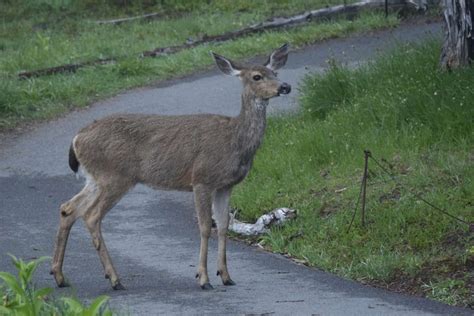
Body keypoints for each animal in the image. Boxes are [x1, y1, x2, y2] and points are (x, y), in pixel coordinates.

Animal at [50, 43, 290, 290]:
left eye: (276, 72)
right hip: (115, 176)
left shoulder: (225, 185)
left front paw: (225, 275)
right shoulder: (201, 178)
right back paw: (115, 279)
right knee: (91, 216)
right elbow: (206, 227)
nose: (285, 86)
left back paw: (60, 276)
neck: (235, 140)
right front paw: (203, 278)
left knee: (68, 208)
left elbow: (223, 225)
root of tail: (77, 138)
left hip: (96, 178)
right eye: (257, 76)